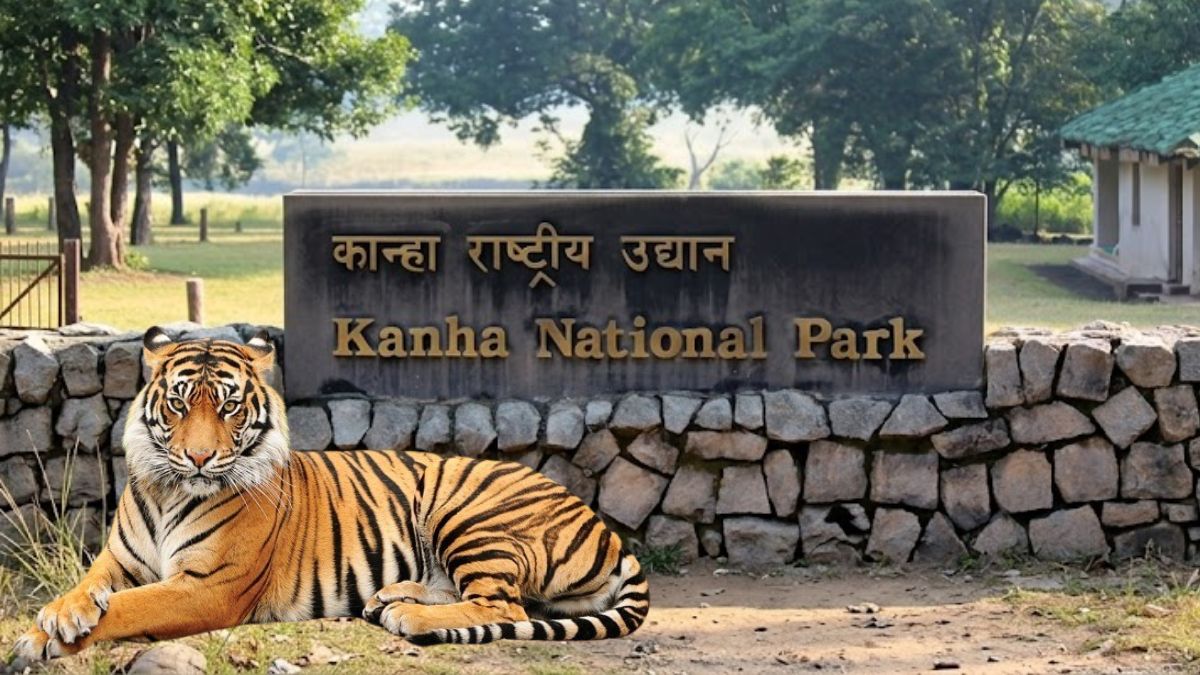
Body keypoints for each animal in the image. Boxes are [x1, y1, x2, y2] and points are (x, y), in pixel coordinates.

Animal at [14, 328, 648, 661]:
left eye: (229, 406)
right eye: (177, 403)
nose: (198, 458)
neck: (171, 491)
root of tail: (603, 524)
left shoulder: (208, 586)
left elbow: (129, 607)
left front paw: (42, 639)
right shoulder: (119, 560)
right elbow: (88, 588)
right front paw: (55, 616)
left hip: (468, 513)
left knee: (505, 605)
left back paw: (408, 617)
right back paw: (390, 598)